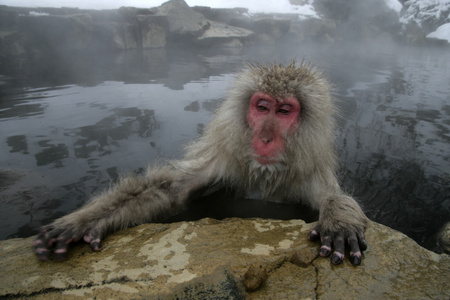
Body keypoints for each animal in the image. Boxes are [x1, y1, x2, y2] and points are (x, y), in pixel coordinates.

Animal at [32, 61, 370, 264]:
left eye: (285, 111)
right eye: (262, 107)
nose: (265, 138)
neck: (264, 175)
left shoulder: (307, 172)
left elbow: (331, 196)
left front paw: (339, 221)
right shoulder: (223, 162)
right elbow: (169, 190)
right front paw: (80, 222)